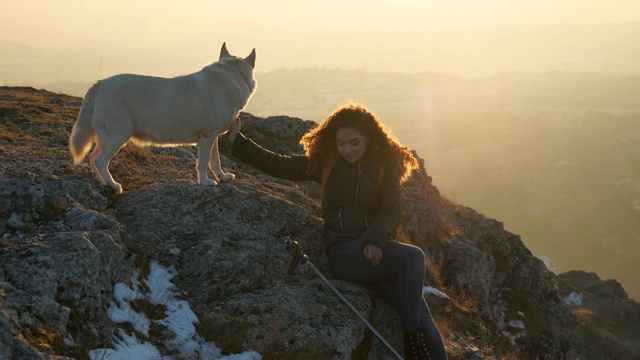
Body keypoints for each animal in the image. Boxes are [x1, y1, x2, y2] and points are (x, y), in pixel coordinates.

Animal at [68, 43, 258, 193]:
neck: (230, 76)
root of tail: (99, 84)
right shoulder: (207, 136)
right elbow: (203, 163)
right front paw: (204, 182)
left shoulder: (213, 137)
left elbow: (215, 161)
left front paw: (223, 177)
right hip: (119, 135)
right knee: (100, 161)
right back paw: (114, 185)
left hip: (106, 137)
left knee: (93, 158)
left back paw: (103, 183)